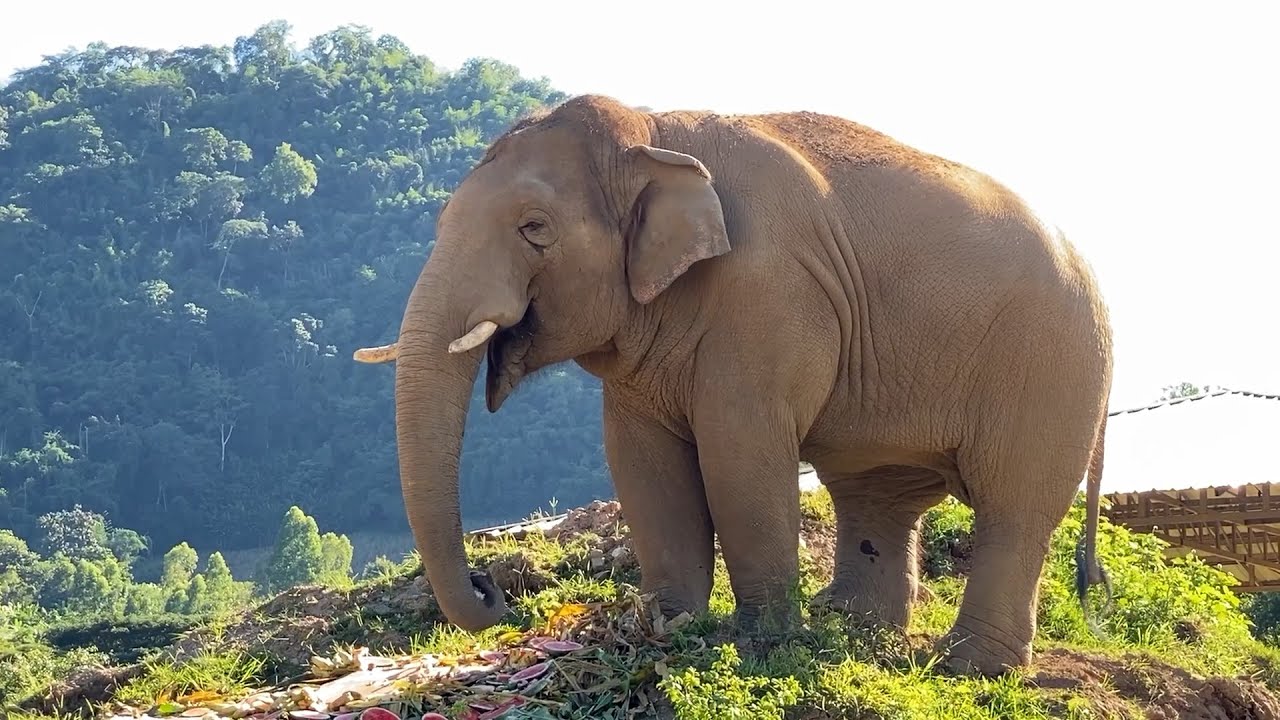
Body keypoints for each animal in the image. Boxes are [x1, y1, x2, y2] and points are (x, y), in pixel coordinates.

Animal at [353, 94, 1114, 676]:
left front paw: (763, 645)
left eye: (533, 228)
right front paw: (671, 625)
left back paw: (970, 669)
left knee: (1014, 507)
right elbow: (643, 466)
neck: (652, 132)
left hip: (1054, 368)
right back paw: (855, 630)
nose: (493, 588)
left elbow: (739, 454)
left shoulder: (768, 297)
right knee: (877, 496)